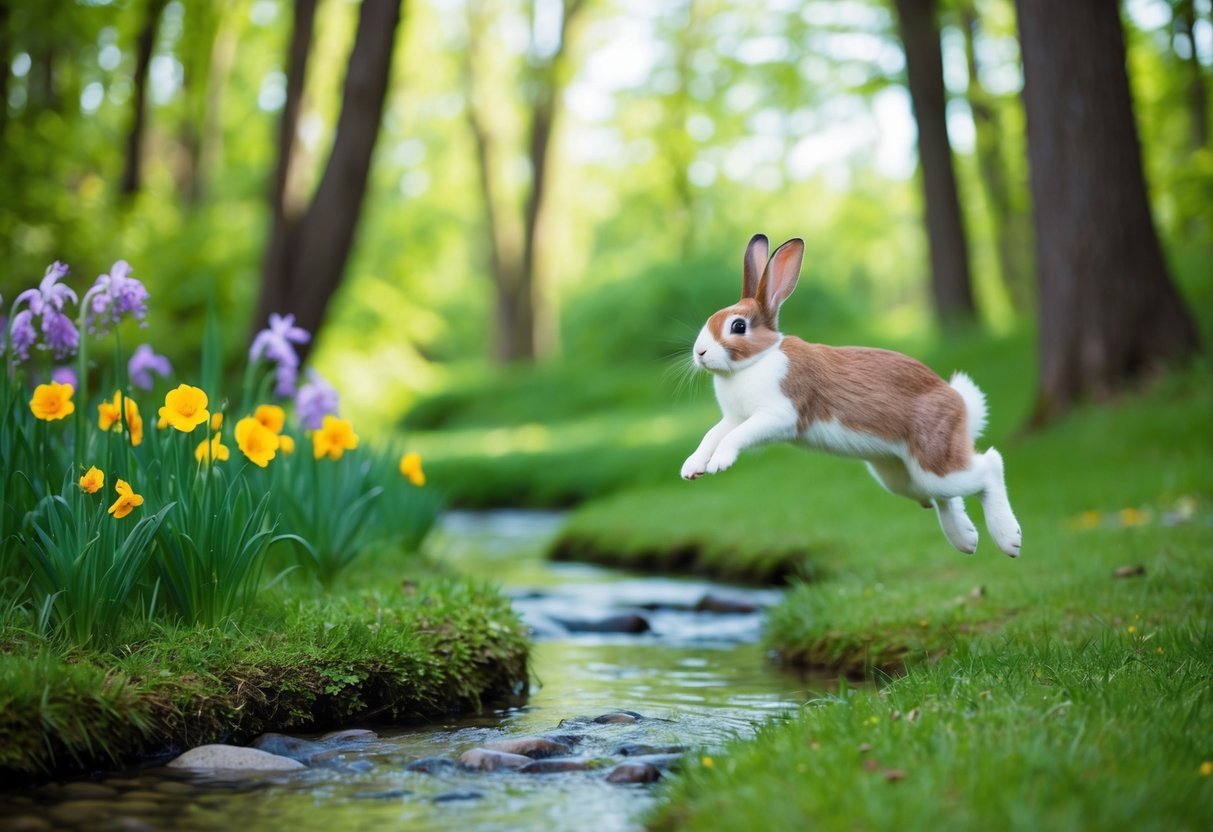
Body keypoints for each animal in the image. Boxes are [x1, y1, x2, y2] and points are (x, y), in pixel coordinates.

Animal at [684, 235, 1023, 560]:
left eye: (738, 326)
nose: (700, 352)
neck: (757, 360)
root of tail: (959, 401)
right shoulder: (734, 418)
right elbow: (712, 436)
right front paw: (692, 469)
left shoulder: (775, 416)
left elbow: (734, 437)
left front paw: (718, 464)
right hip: (901, 477)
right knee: (943, 498)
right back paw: (966, 539)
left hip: (934, 461)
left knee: (990, 467)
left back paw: (1009, 540)